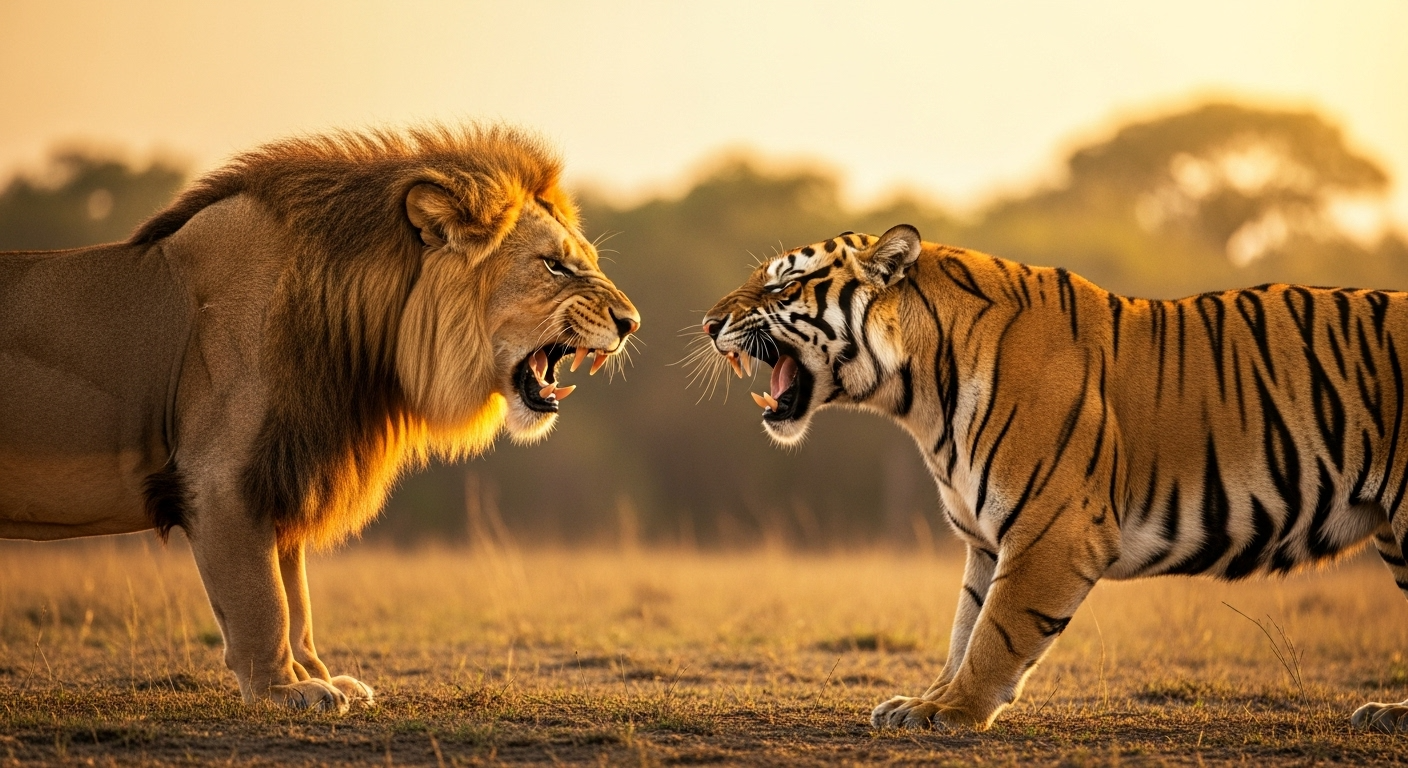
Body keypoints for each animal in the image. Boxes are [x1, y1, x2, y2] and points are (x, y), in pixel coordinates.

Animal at [0, 125, 639, 712]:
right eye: (554, 266)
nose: (631, 322)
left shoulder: (284, 466)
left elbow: (295, 595)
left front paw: (317, 677)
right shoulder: (222, 478)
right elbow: (263, 599)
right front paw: (285, 690)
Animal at [700, 223, 1408, 732]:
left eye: (784, 288)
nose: (708, 324)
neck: (919, 396)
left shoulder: (1052, 530)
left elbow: (998, 629)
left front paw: (952, 712)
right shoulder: (985, 539)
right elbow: (966, 624)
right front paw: (923, 701)